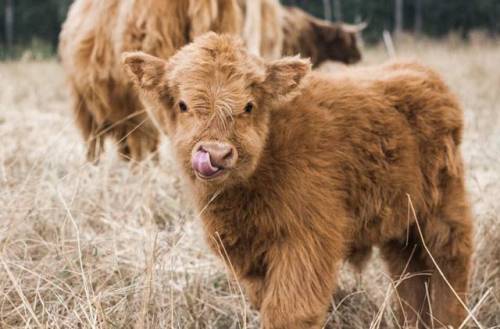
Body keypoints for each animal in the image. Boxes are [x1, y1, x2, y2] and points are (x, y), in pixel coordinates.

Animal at [123, 34, 474, 328]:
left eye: (248, 105)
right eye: (182, 104)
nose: (216, 153)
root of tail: (419, 71)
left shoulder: (305, 242)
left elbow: (290, 312)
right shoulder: (251, 259)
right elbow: (265, 302)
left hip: (443, 208)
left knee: (448, 261)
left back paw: (447, 319)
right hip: (401, 219)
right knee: (408, 271)